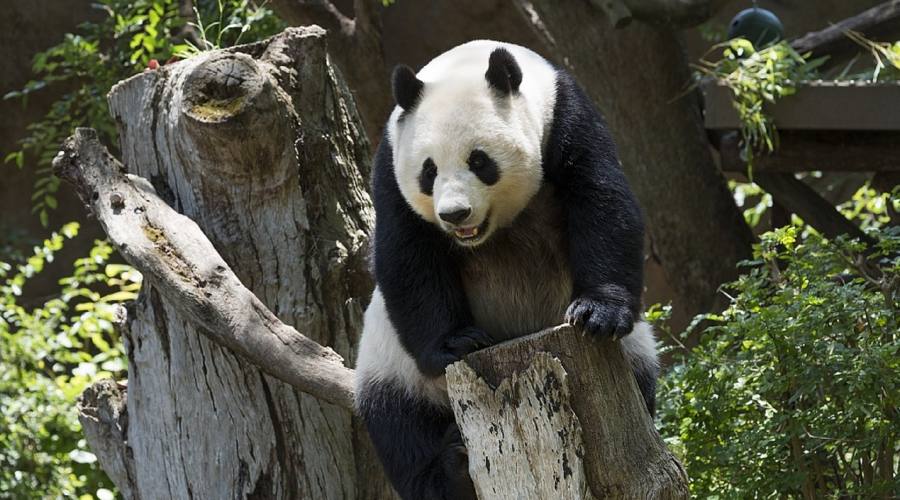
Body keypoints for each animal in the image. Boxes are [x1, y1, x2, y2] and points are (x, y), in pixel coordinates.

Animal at [356, 40, 656, 500]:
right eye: (428, 170)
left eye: (480, 161)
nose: (455, 214)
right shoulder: (391, 159)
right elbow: (407, 252)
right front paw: (457, 342)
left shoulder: (565, 116)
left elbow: (600, 197)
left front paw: (597, 313)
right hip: (391, 366)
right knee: (401, 429)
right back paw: (452, 468)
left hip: (635, 354)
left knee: (641, 378)